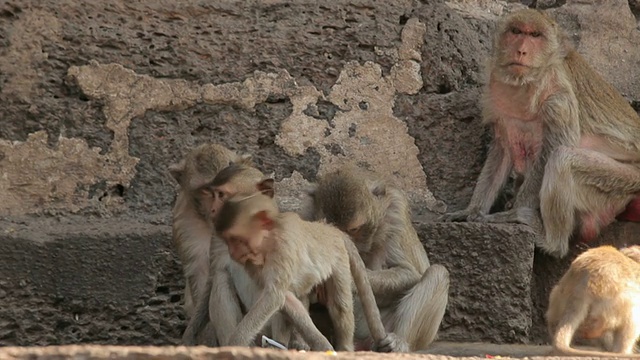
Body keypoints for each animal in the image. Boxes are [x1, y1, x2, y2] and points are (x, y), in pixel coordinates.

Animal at [211, 190, 410, 352]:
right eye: (228, 240)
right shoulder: (251, 263)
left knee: (340, 307)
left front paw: (235, 343)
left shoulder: (284, 247)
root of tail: (332, 229)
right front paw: (321, 344)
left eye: (235, 239)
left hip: (338, 260)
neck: (267, 241)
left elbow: (273, 296)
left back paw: (345, 348)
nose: (233, 253)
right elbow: (284, 298)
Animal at [304, 166, 450, 352]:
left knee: (438, 273)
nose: (345, 245)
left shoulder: (396, 213)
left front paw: (349, 279)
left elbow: (410, 272)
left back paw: (400, 342)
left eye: (354, 229)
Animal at [440, 8, 640, 258]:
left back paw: (549, 240)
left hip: (625, 182)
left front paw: (514, 211)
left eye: (535, 35)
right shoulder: (493, 97)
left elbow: (553, 149)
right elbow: (502, 151)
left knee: (563, 159)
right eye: (516, 31)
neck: (526, 85)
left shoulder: (558, 99)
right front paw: (471, 210)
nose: (521, 50)